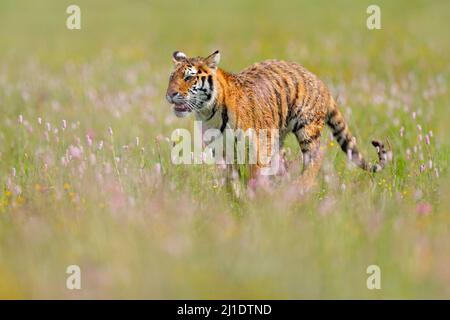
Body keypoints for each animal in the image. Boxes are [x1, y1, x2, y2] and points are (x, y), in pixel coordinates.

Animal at [165, 50, 386, 188]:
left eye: (188, 77)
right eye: (171, 78)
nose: (170, 94)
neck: (209, 112)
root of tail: (319, 81)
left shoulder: (258, 146)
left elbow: (253, 175)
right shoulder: (223, 150)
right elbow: (231, 180)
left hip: (306, 129)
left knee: (315, 157)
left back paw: (301, 187)